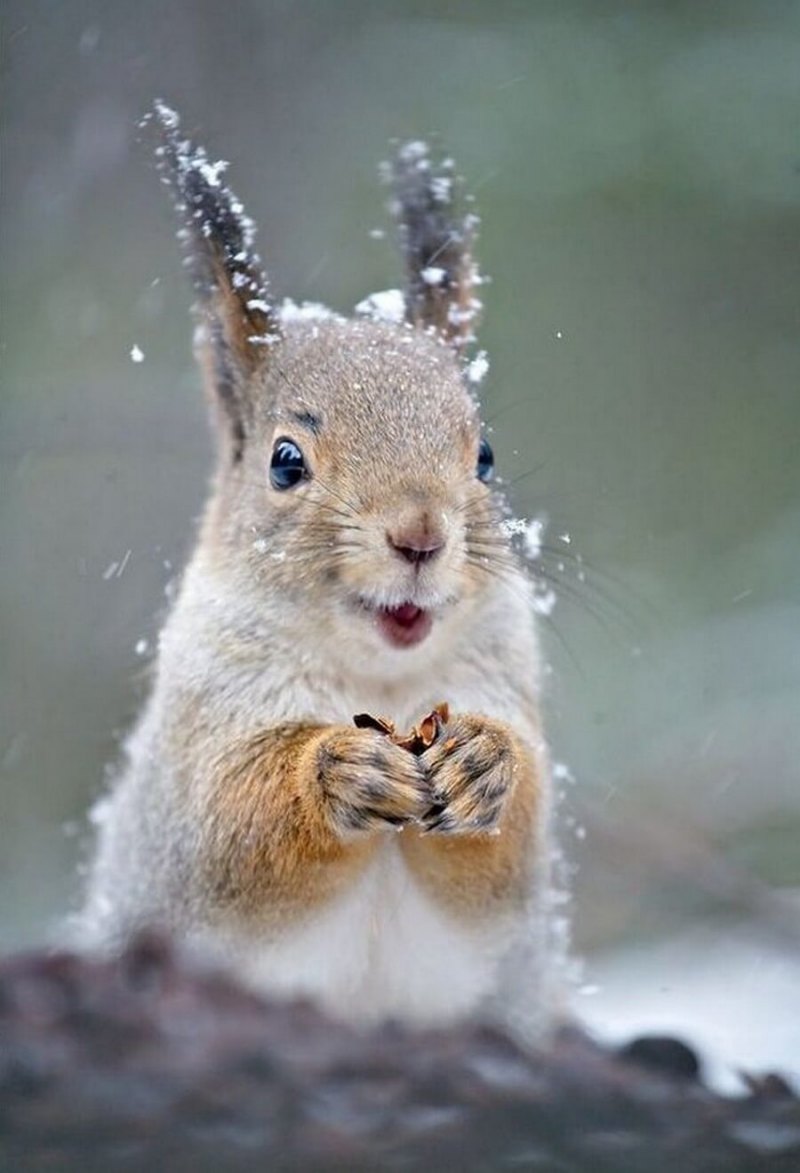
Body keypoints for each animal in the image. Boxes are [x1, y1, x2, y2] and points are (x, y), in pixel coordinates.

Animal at [78, 102, 561, 1044]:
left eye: (485, 454)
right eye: (285, 461)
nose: (419, 534)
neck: (385, 681)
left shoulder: (506, 684)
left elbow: (506, 858)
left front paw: (485, 763)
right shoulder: (196, 744)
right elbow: (230, 826)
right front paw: (338, 770)